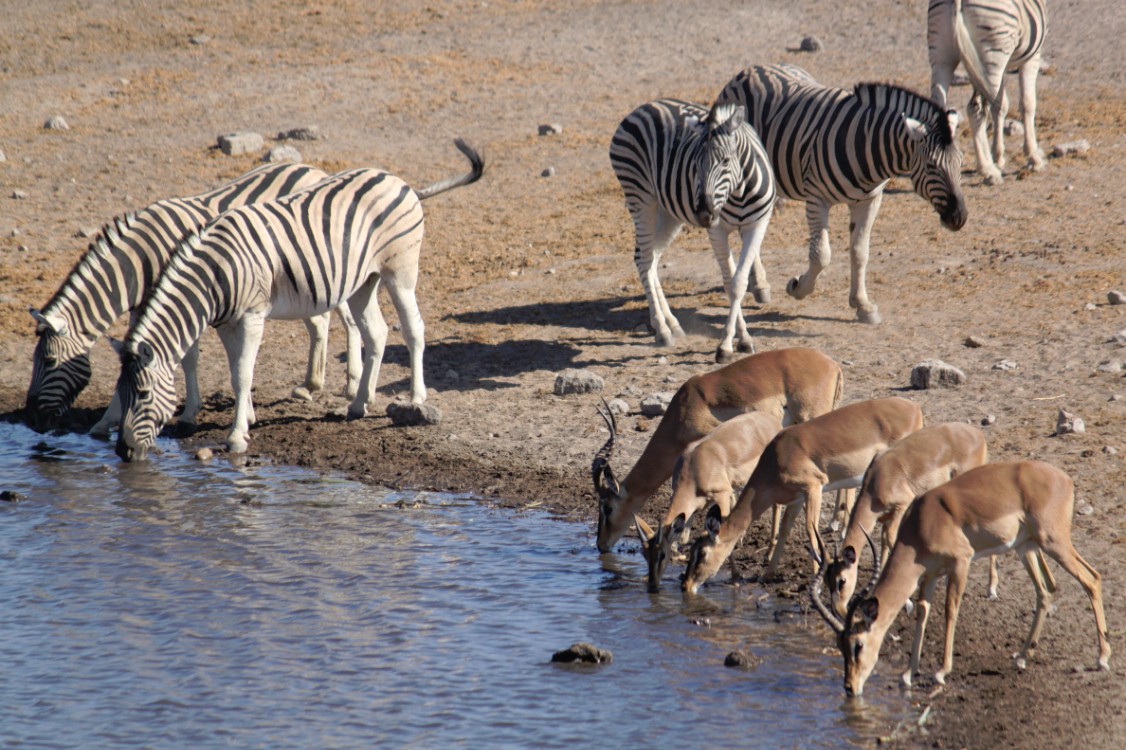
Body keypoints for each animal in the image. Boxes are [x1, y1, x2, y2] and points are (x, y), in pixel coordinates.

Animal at [25, 161, 360, 434]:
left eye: (50, 360)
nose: (31, 421)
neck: (140, 260)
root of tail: (313, 169)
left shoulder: (185, 297)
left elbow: (189, 358)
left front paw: (189, 414)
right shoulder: (147, 307)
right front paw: (107, 420)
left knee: (348, 318)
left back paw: (352, 384)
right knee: (319, 321)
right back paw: (310, 384)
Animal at [114, 137, 484, 459]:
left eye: (143, 394)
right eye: (121, 391)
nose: (122, 451)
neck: (214, 275)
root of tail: (398, 180)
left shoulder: (252, 316)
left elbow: (243, 373)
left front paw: (236, 436)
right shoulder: (227, 322)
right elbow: (236, 371)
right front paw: (247, 419)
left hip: (400, 271)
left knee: (413, 329)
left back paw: (417, 396)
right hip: (364, 281)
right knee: (377, 333)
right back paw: (358, 404)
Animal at [612, 97, 779, 360]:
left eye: (725, 161)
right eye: (695, 165)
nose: (703, 214)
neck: (739, 192)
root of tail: (642, 107)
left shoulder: (757, 225)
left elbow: (740, 281)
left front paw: (743, 340)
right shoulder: (717, 231)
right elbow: (730, 283)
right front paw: (727, 344)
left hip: (668, 212)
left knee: (651, 258)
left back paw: (672, 324)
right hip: (641, 198)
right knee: (644, 259)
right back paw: (662, 330)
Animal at [711, 62, 968, 322]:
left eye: (960, 162)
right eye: (932, 166)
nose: (960, 217)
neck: (869, 148)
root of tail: (752, 69)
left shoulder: (870, 200)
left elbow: (860, 252)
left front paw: (862, 305)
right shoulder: (816, 199)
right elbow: (821, 254)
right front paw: (798, 288)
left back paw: (758, 283)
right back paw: (761, 284)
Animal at [927, 0, 1049, 183]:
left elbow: (999, 107)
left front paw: (997, 155)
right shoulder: (1032, 57)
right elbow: (1026, 104)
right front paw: (1034, 158)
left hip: (943, 58)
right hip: (992, 56)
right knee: (976, 109)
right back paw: (987, 170)